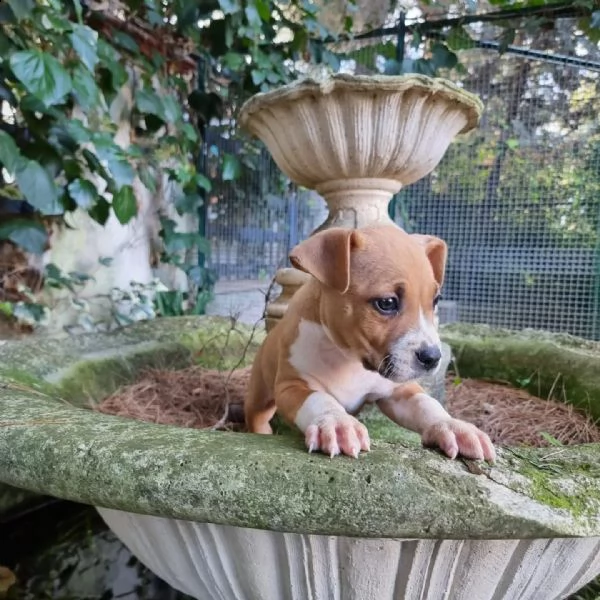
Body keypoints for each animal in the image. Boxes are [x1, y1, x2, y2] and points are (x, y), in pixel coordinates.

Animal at [246, 223, 494, 462]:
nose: (433, 357)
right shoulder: (292, 386)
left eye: (435, 300)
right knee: (256, 417)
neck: (348, 359)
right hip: (259, 395)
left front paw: (453, 426)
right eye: (387, 303)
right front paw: (337, 422)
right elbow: (319, 399)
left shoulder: (399, 390)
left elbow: (427, 404)